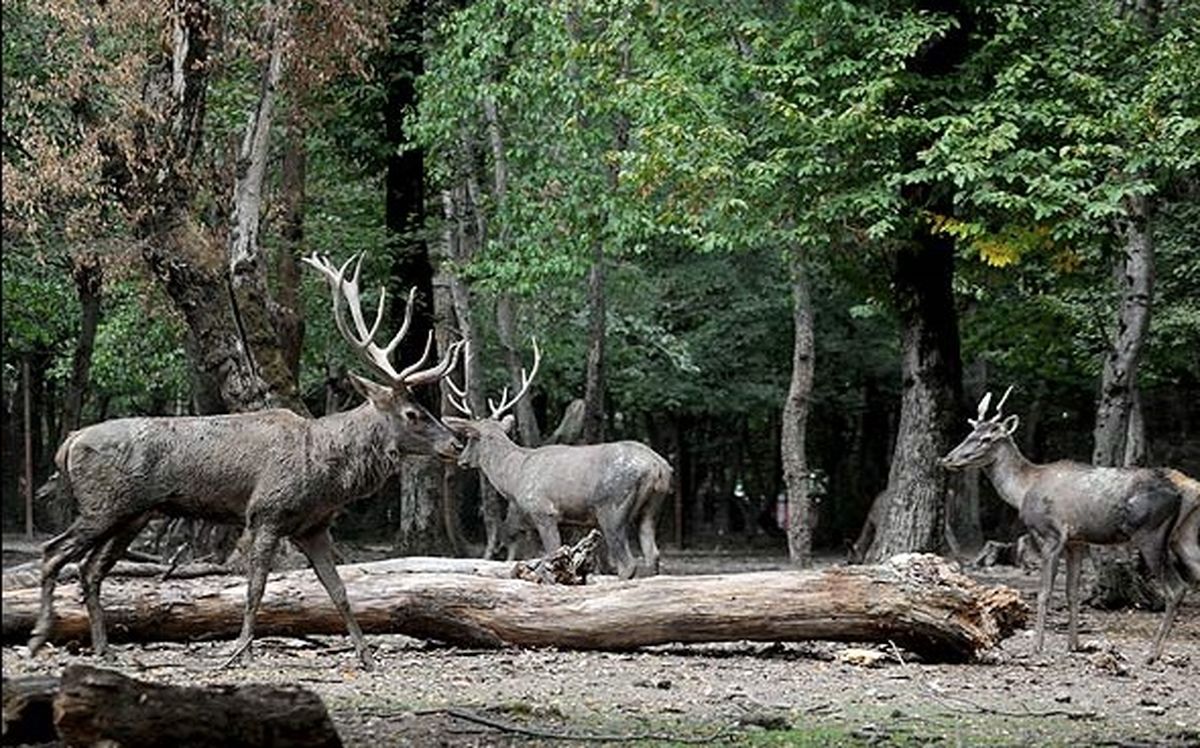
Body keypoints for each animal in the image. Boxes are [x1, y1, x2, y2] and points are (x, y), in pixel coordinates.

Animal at [28, 254, 460, 672]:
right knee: (53, 552)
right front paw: (241, 652)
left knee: (90, 569)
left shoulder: (313, 528)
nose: (456, 443)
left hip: (132, 515)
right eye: (413, 413)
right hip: (103, 505)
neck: (323, 469)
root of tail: (70, 442)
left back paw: (104, 649)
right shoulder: (265, 513)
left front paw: (367, 656)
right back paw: (38, 638)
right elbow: (256, 588)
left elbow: (339, 590)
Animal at [444, 338, 672, 578]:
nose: (461, 459)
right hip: (653, 506)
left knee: (628, 563)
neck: (515, 479)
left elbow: (550, 555)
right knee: (653, 554)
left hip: (612, 507)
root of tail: (659, 468)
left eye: (470, 437)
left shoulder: (543, 511)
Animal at [940, 386, 1195, 662]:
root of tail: (1182, 491)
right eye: (970, 433)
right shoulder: (1077, 540)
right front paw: (1074, 644)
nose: (947, 459)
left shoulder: (1052, 534)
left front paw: (1036, 647)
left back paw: (1152, 653)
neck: (1022, 490)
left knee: (1176, 588)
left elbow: (1044, 592)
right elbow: (1072, 592)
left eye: (987, 438)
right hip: (1183, 537)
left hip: (1151, 534)